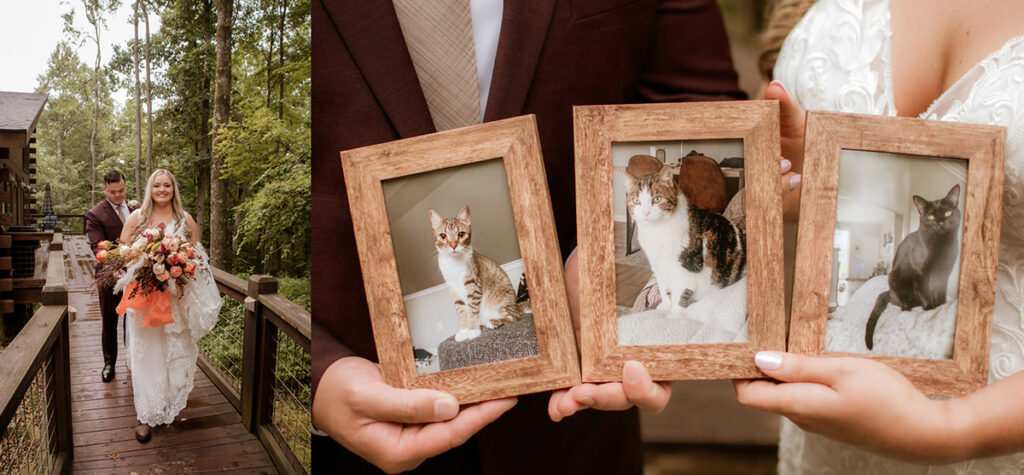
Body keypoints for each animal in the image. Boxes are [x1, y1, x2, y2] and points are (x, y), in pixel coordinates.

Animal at [430, 205, 528, 339]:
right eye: (443, 236)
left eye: (461, 234)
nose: (453, 245)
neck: (453, 263)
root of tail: (516, 306)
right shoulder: (453, 288)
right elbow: (461, 311)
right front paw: (464, 331)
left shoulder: (473, 283)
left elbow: (472, 309)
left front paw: (472, 330)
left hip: (503, 304)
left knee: (513, 317)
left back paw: (493, 322)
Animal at [618, 163, 749, 315]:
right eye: (636, 201)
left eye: (657, 199)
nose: (645, 213)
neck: (657, 231)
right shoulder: (658, 266)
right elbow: (663, 288)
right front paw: (665, 306)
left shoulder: (686, 268)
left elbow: (679, 294)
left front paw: (674, 313)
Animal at [864, 184, 958, 348]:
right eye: (931, 217)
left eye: (948, 213)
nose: (940, 223)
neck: (941, 243)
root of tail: (889, 293)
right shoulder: (921, 273)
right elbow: (925, 291)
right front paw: (929, 308)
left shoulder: (944, 273)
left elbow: (939, 292)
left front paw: (939, 306)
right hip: (894, 278)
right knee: (901, 303)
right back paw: (909, 306)